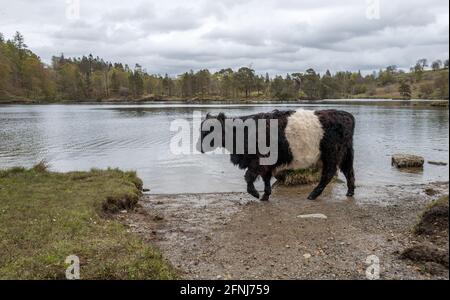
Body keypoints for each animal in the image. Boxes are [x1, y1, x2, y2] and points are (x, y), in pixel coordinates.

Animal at [199, 109, 356, 200]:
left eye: (211, 129)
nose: (199, 147)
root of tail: (347, 115)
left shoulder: (257, 161)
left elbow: (249, 176)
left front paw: (255, 193)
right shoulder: (266, 163)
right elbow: (266, 178)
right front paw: (265, 195)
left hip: (331, 154)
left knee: (328, 174)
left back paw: (313, 195)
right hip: (346, 153)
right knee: (349, 171)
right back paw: (350, 192)